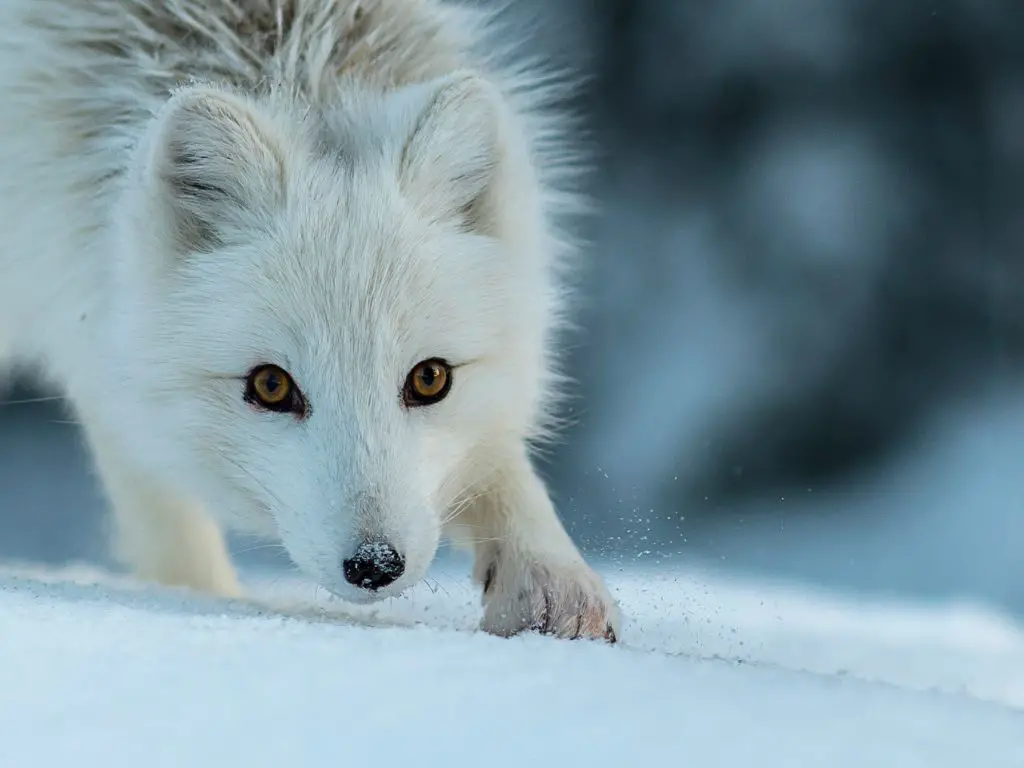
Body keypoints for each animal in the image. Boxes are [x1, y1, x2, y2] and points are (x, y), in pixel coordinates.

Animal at [0, 0, 618, 638]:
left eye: (430, 378)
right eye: (271, 385)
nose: (375, 565)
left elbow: (498, 457)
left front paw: (548, 579)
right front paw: (202, 600)